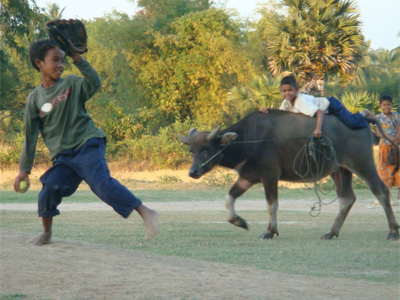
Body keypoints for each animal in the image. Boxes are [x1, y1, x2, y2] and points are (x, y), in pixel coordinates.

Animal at [179, 109, 400, 240]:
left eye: (206, 148)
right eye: (192, 150)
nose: (193, 171)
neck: (247, 139)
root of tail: (362, 118)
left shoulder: (269, 176)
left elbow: (272, 204)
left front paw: (270, 231)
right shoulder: (248, 177)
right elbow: (229, 198)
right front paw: (240, 222)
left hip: (362, 163)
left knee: (381, 191)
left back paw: (393, 231)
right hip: (340, 170)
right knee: (346, 199)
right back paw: (331, 232)